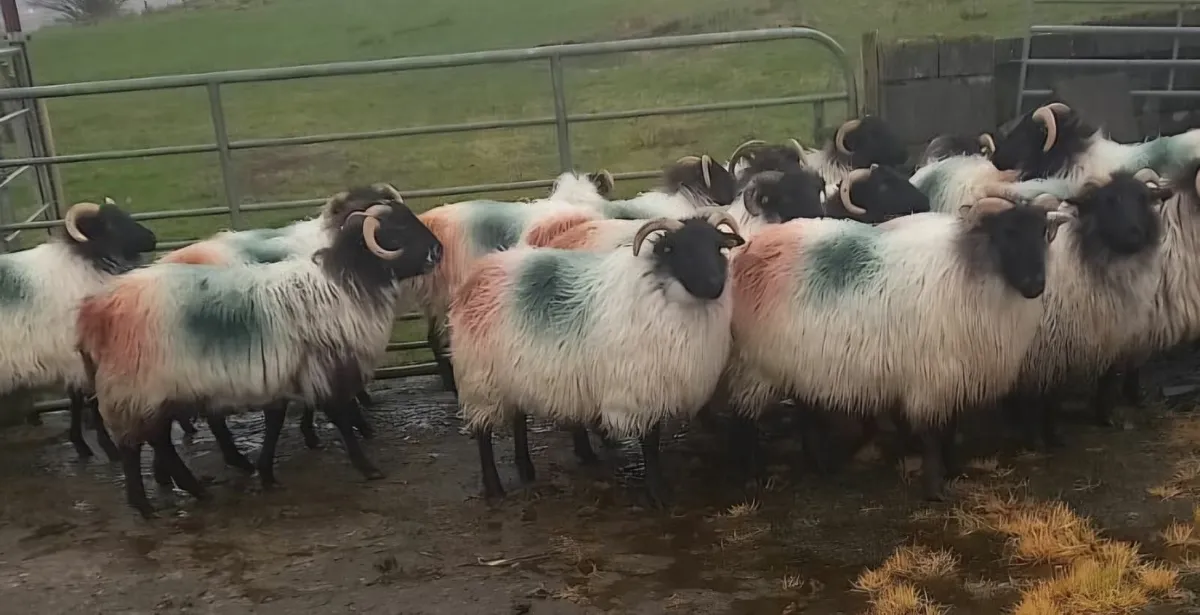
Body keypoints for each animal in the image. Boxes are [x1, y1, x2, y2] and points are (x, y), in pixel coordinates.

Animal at [0, 199, 157, 460]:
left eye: (124, 214)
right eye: (108, 224)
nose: (152, 239)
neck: (86, 261)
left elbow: (76, 400)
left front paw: (82, 444)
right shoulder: (76, 355)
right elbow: (87, 400)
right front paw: (105, 448)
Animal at [76, 198, 443, 518]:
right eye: (397, 227)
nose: (438, 250)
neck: (343, 284)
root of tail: (97, 311)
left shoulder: (286, 372)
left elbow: (275, 422)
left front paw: (266, 472)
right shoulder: (322, 367)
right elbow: (340, 417)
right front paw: (367, 467)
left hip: (155, 391)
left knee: (159, 441)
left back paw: (195, 489)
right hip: (136, 387)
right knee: (134, 446)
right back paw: (146, 505)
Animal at [449, 211, 745, 507]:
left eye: (719, 247)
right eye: (678, 249)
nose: (715, 286)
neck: (661, 291)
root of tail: (480, 270)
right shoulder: (640, 387)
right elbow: (650, 442)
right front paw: (657, 492)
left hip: (511, 374)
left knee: (518, 420)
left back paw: (527, 469)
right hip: (480, 378)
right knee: (483, 433)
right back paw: (494, 487)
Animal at [720, 194, 1072, 499]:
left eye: (1043, 232)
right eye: (1007, 232)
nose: (1035, 285)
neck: (971, 269)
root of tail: (748, 249)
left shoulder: (957, 373)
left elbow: (951, 429)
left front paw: (955, 471)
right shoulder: (932, 376)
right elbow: (933, 435)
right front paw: (934, 489)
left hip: (796, 361)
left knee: (805, 414)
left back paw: (821, 466)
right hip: (753, 364)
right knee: (742, 419)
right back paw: (753, 476)